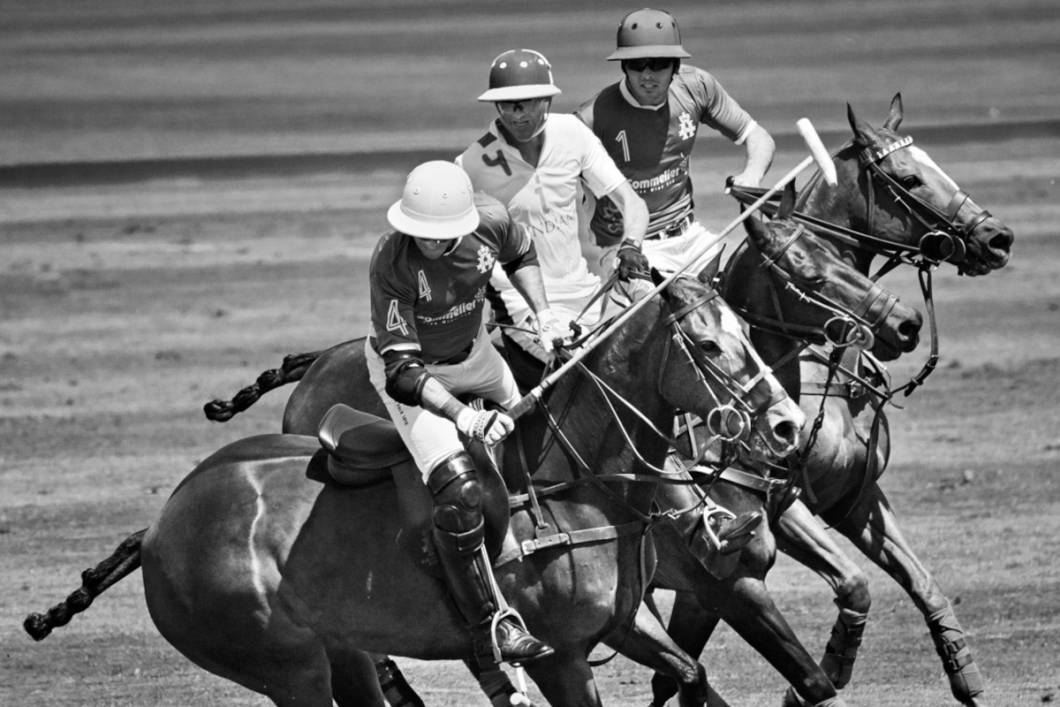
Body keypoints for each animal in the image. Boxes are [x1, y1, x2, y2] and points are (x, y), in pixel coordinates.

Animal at [24, 273, 801, 707]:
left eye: (744, 327)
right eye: (708, 345)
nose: (788, 424)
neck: (574, 483)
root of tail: (160, 526)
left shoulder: (624, 624)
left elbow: (691, 674)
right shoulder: (561, 656)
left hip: (340, 648)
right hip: (285, 665)